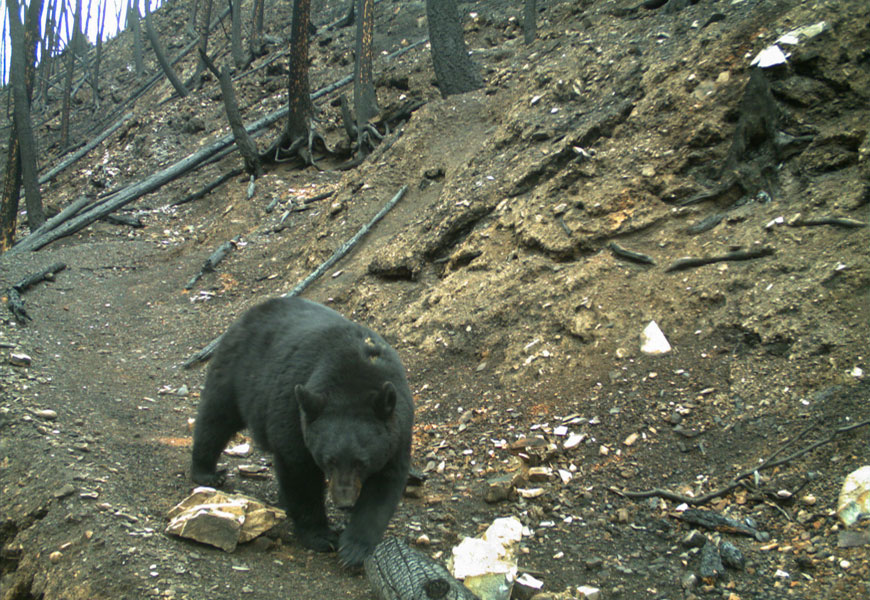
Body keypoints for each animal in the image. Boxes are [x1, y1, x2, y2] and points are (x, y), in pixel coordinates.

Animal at [192, 298, 418, 568]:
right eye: (329, 460)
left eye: (361, 462)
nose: (344, 502)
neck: (353, 379)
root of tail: (256, 309)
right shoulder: (295, 412)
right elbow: (299, 471)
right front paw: (321, 536)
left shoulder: (398, 430)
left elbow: (385, 482)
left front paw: (354, 548)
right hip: (237, 370)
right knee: (216, 418)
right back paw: (207, 472)